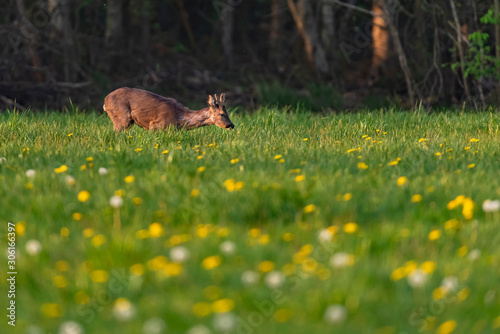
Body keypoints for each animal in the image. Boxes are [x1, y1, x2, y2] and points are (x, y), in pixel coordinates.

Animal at [103, 87, 234, 132]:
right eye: (222, 114)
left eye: (227, 113)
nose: (231, 125)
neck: (179, 118)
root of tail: (105, 100)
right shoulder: (156, 124)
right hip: (122, 116)